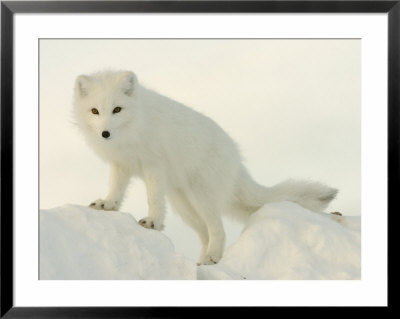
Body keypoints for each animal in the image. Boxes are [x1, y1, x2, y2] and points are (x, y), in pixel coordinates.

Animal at [72, 71, 338, 266]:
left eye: (117, 109)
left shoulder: (154, 165)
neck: (133, 129)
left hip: (201, 197)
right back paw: (201, 261)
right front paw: (108, 205)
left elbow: (153, 198)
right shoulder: (121, 164)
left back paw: (212, 257)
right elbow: (116, 189)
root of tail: (236, 157)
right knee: (205, 234)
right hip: (184, 206)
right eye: (95, 111)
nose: (105, 133)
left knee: (218, 230)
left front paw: (153, 222)